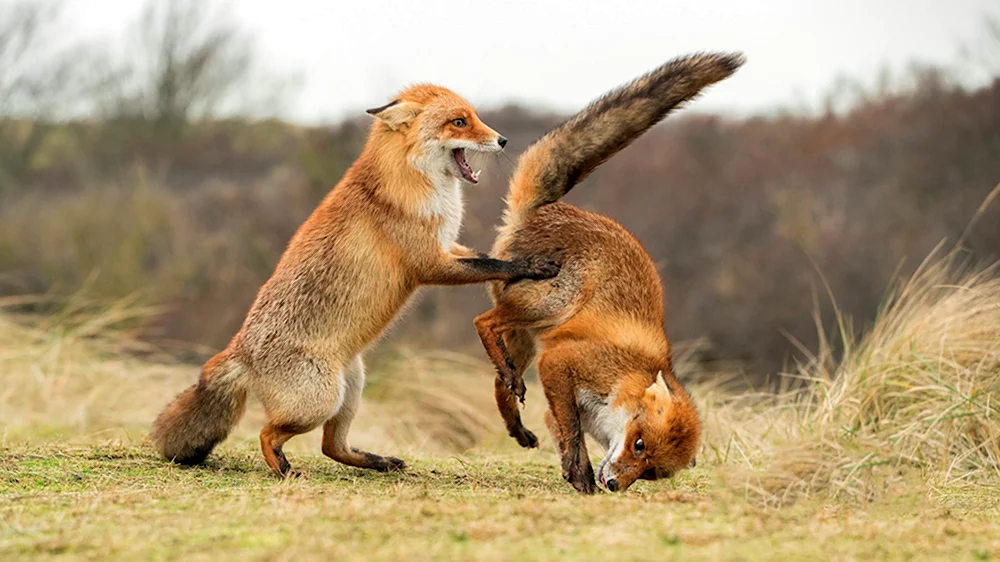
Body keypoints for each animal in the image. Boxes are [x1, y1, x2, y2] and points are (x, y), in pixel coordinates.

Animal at [149, 84, 560, 476]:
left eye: (474, 117)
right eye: (459, 122)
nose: (502, 140)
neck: (415, 184)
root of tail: (238, 351)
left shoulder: (447, 247)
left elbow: (486, 258)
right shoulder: (430, 264)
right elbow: (494, 265)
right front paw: (534, 265)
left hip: (352, 386)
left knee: (331, 446)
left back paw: (380, 462)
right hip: (319, 401)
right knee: (267, 434)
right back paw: (285, 470)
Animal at [474, 51, 744, 490]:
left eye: (649, 472)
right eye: (639, 444)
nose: (615, 485)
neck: (626, 377)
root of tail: (545, 209)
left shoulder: (557, 391)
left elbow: (562, 429)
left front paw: (575, 473)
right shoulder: (560, 364)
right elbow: (571, 430)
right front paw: (581, 474)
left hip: (527, 339)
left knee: (500, 380)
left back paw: (517, 425)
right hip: (550, 304)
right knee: (483, 322)